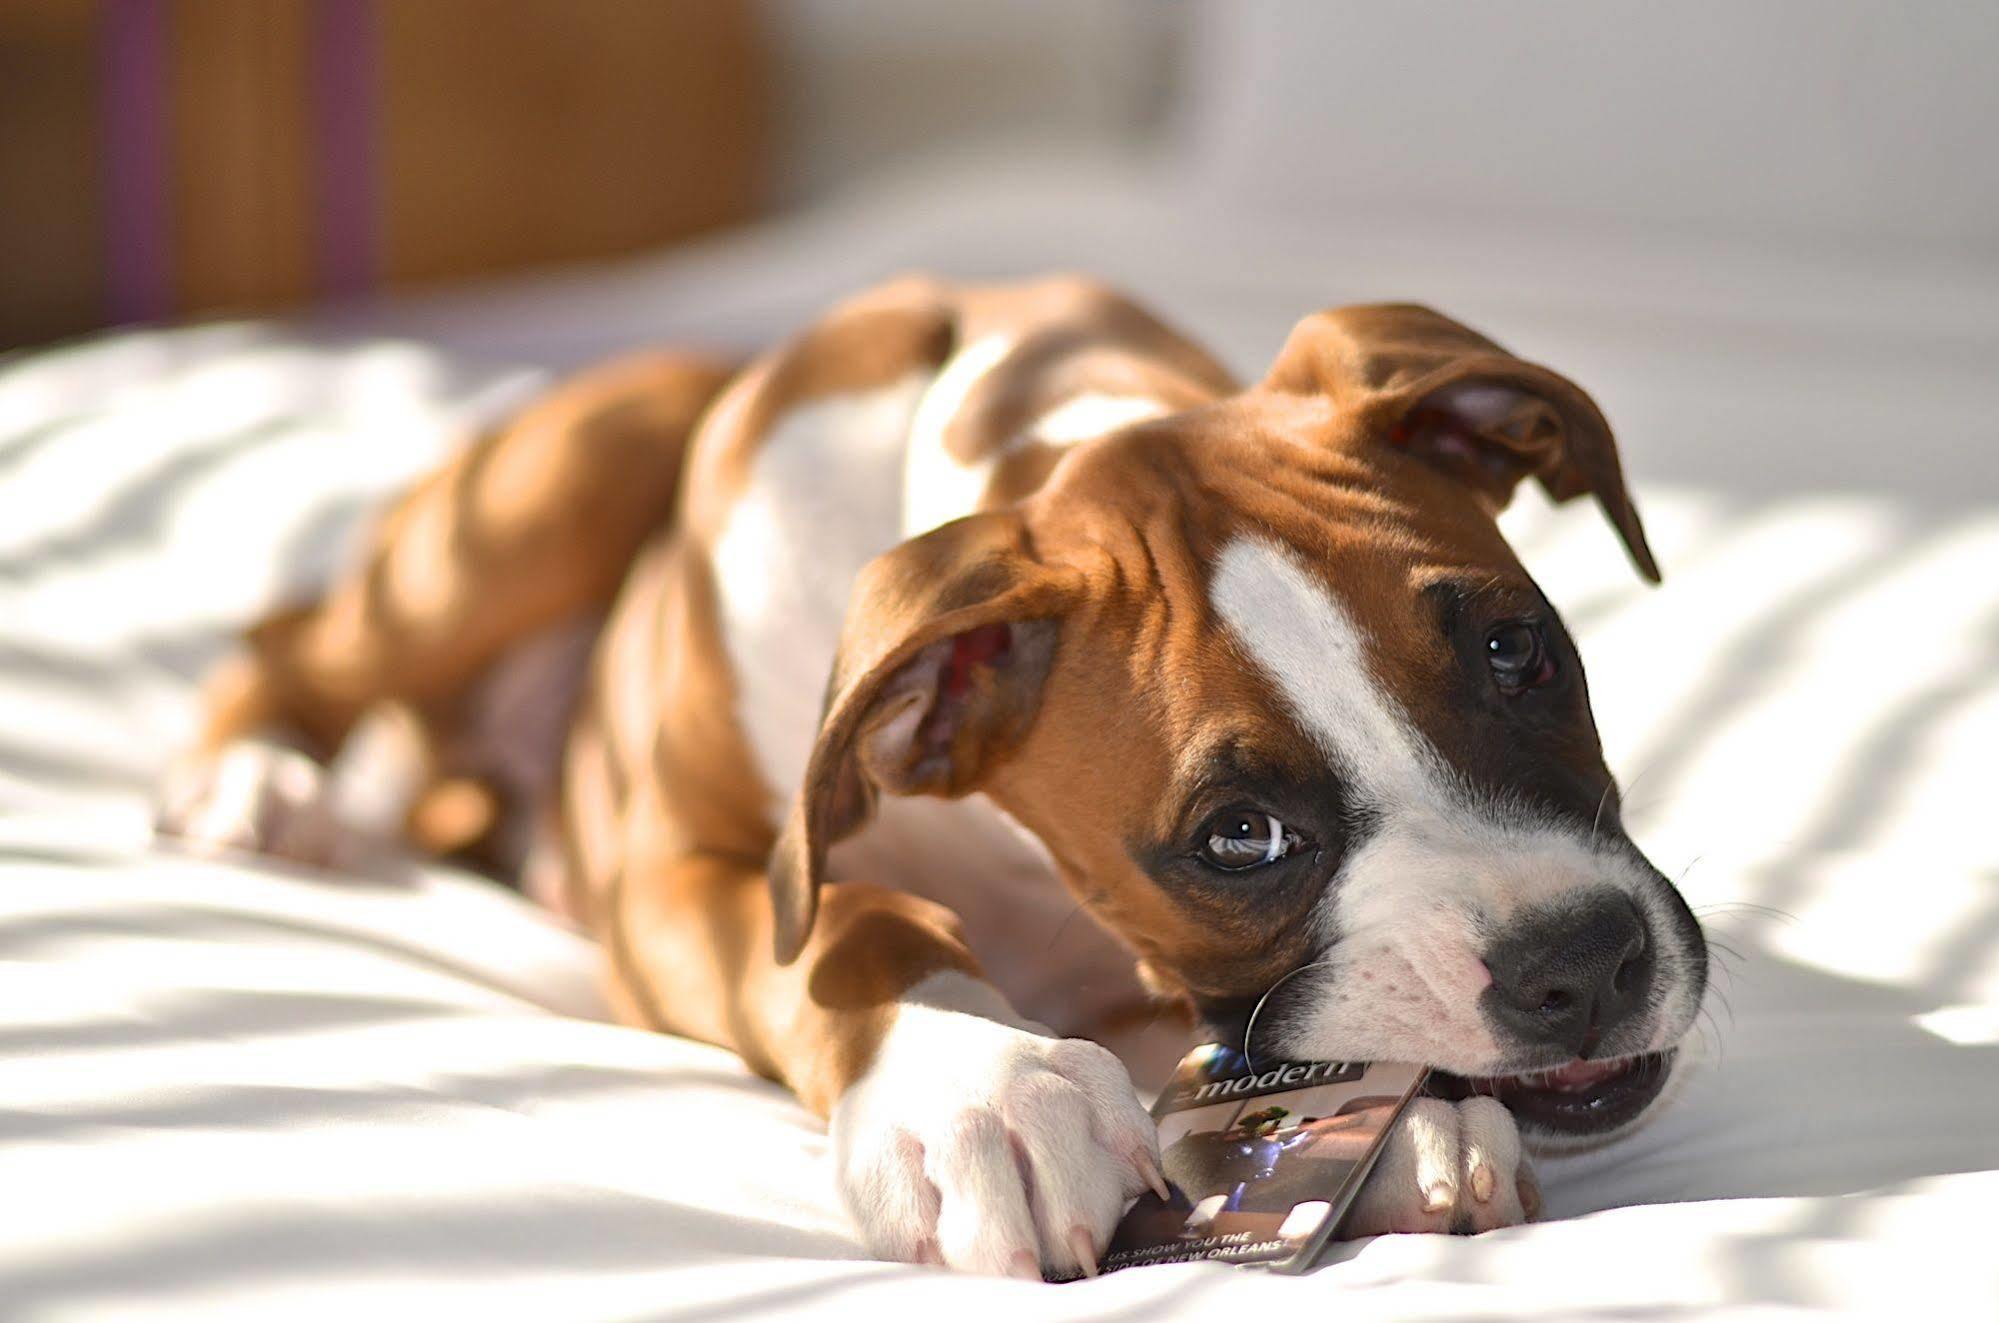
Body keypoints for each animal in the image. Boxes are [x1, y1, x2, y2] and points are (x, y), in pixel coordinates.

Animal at [163, 277, 1711, 1287]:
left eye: (1516, 651)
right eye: (1239, 836)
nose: (1578, 962)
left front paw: (1404, 1121)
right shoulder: (681, 875)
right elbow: (843, 934)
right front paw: (985, 1085)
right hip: (544, 497)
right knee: (290, 641)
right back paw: (254, 784)